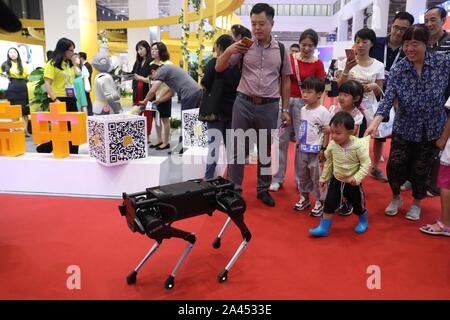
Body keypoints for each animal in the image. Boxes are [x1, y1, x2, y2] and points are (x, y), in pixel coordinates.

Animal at [119, 176, 251, 288]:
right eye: (128, 213)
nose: (131, 225)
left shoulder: (159, 227)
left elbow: (191, 237)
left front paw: (170, 280)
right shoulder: (159, 229)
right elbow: (160, 241)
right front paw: (133, 274)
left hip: (231, 205)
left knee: (246, 233)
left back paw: (225, 271)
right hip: (227, 206)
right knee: (234, 217)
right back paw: (218, 241)